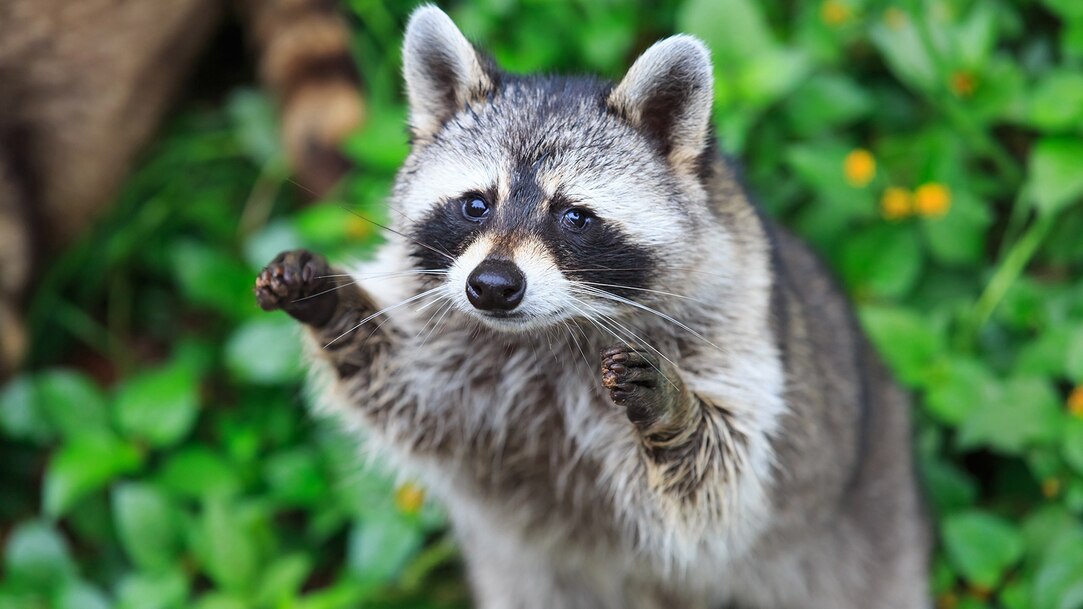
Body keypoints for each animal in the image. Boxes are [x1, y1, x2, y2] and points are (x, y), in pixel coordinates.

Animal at [255, 6, 930, 608]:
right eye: (476, 204)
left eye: (574, 216)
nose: (491, 286)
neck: (550, 332)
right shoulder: (454, 351)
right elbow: (404, 387)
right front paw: (333, 303)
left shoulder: (732, 316)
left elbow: (724, 479)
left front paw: (677, 411)